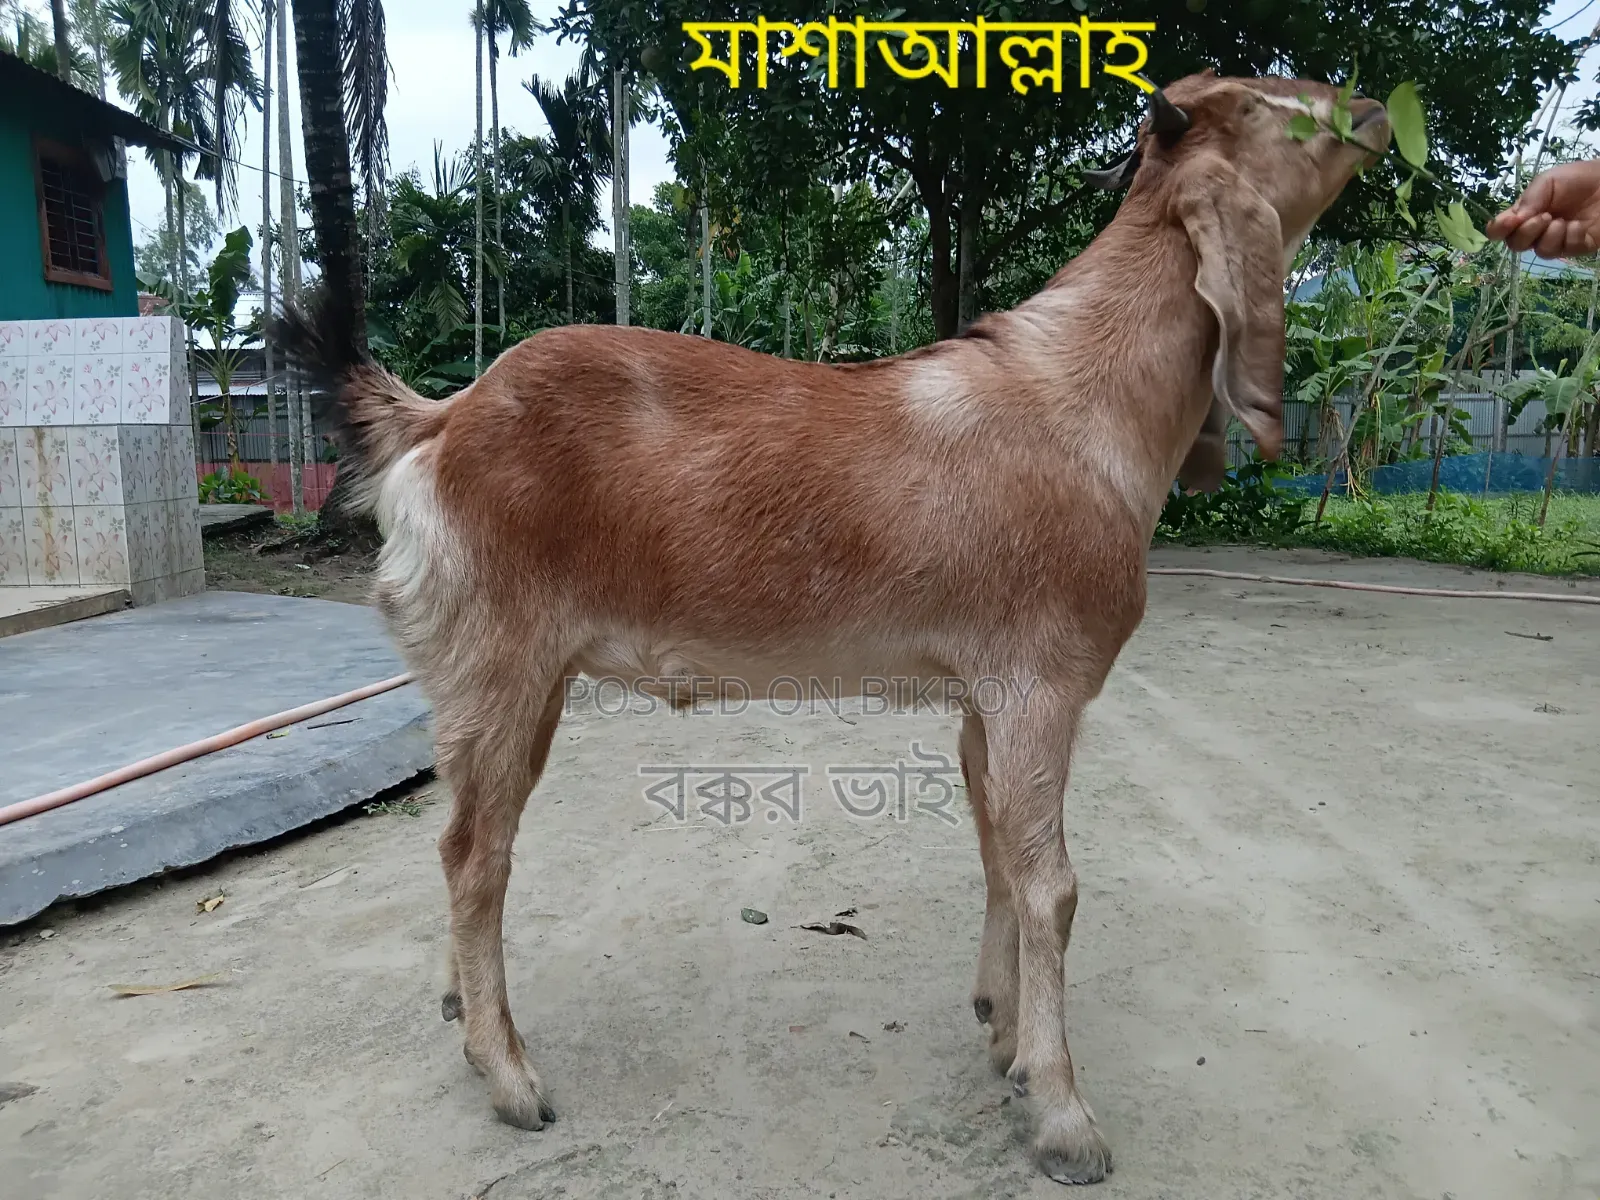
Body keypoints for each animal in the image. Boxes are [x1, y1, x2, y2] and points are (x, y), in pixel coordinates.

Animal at [278, 72, 1389, 1185]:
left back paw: (464, 1012)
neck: (1083, 397)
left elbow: (996, 848)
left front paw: (1001, 1032)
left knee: (465, 837)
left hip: (513, 679)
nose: (1377, 111)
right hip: (500, 662)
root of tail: (437, 423)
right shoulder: (1041, 681)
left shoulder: (984, 696)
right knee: (476, 853)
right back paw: (509, 1075)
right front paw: (1064, 1115)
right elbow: (1052, 884)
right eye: (1269, 105)